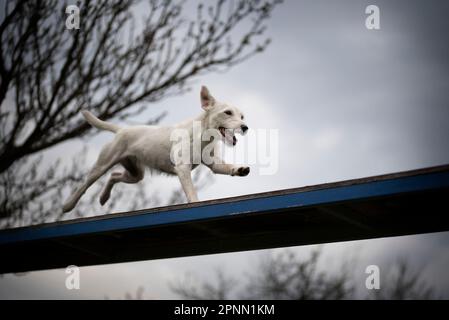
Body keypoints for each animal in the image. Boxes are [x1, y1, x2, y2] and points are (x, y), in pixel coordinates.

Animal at [62, 86, 250, 212]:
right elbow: (191, 190)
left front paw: (240, 169)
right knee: (85, 185)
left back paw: (103, 197)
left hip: (136, 174)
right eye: (227, 112)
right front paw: (195, 202)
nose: (245, 127)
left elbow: (226, 167)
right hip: (102, 165)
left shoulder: (215, 165)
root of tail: (121, 130)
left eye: (242, 116)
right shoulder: (183, 168)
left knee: (114, 175)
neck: (202, 135)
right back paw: (68, 205)